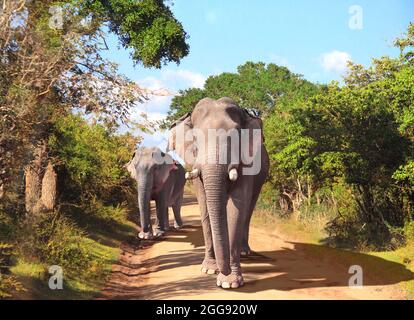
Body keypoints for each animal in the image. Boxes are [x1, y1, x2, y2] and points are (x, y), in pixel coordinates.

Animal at [167, 97, 270, 288]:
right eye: (195, 139)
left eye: (236, 136)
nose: (225, 270)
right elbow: (205, 207)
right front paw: (209, 270)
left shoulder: (246, 164)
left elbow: (236, 209)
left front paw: (229, 283)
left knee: (248, 209)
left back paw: (244, 252)